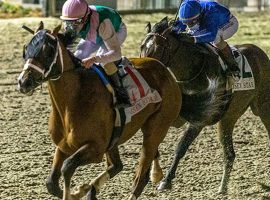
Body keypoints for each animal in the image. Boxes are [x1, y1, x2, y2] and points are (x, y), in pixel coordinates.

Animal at [17, 21, 181, 199]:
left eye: (48, 51)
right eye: (26, 48)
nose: (23, 82)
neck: (73, 101)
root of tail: (162, 67)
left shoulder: (96, 148)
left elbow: (67, 167)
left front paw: (75, 192)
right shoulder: (63, 146)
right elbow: (51, 184)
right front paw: (79, 190)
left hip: (156, 129)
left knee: (140, 176)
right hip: (115, 137)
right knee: (117, 166)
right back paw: (91, 189)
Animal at [140, 17, 270, 194]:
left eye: (158, 48)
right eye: (141, 46)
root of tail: (260, 52)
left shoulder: (199, 120)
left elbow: (181, 147)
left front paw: (165, 181)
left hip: (262, 108)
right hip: (229, 117)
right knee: (229, 154)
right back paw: (222, 187)